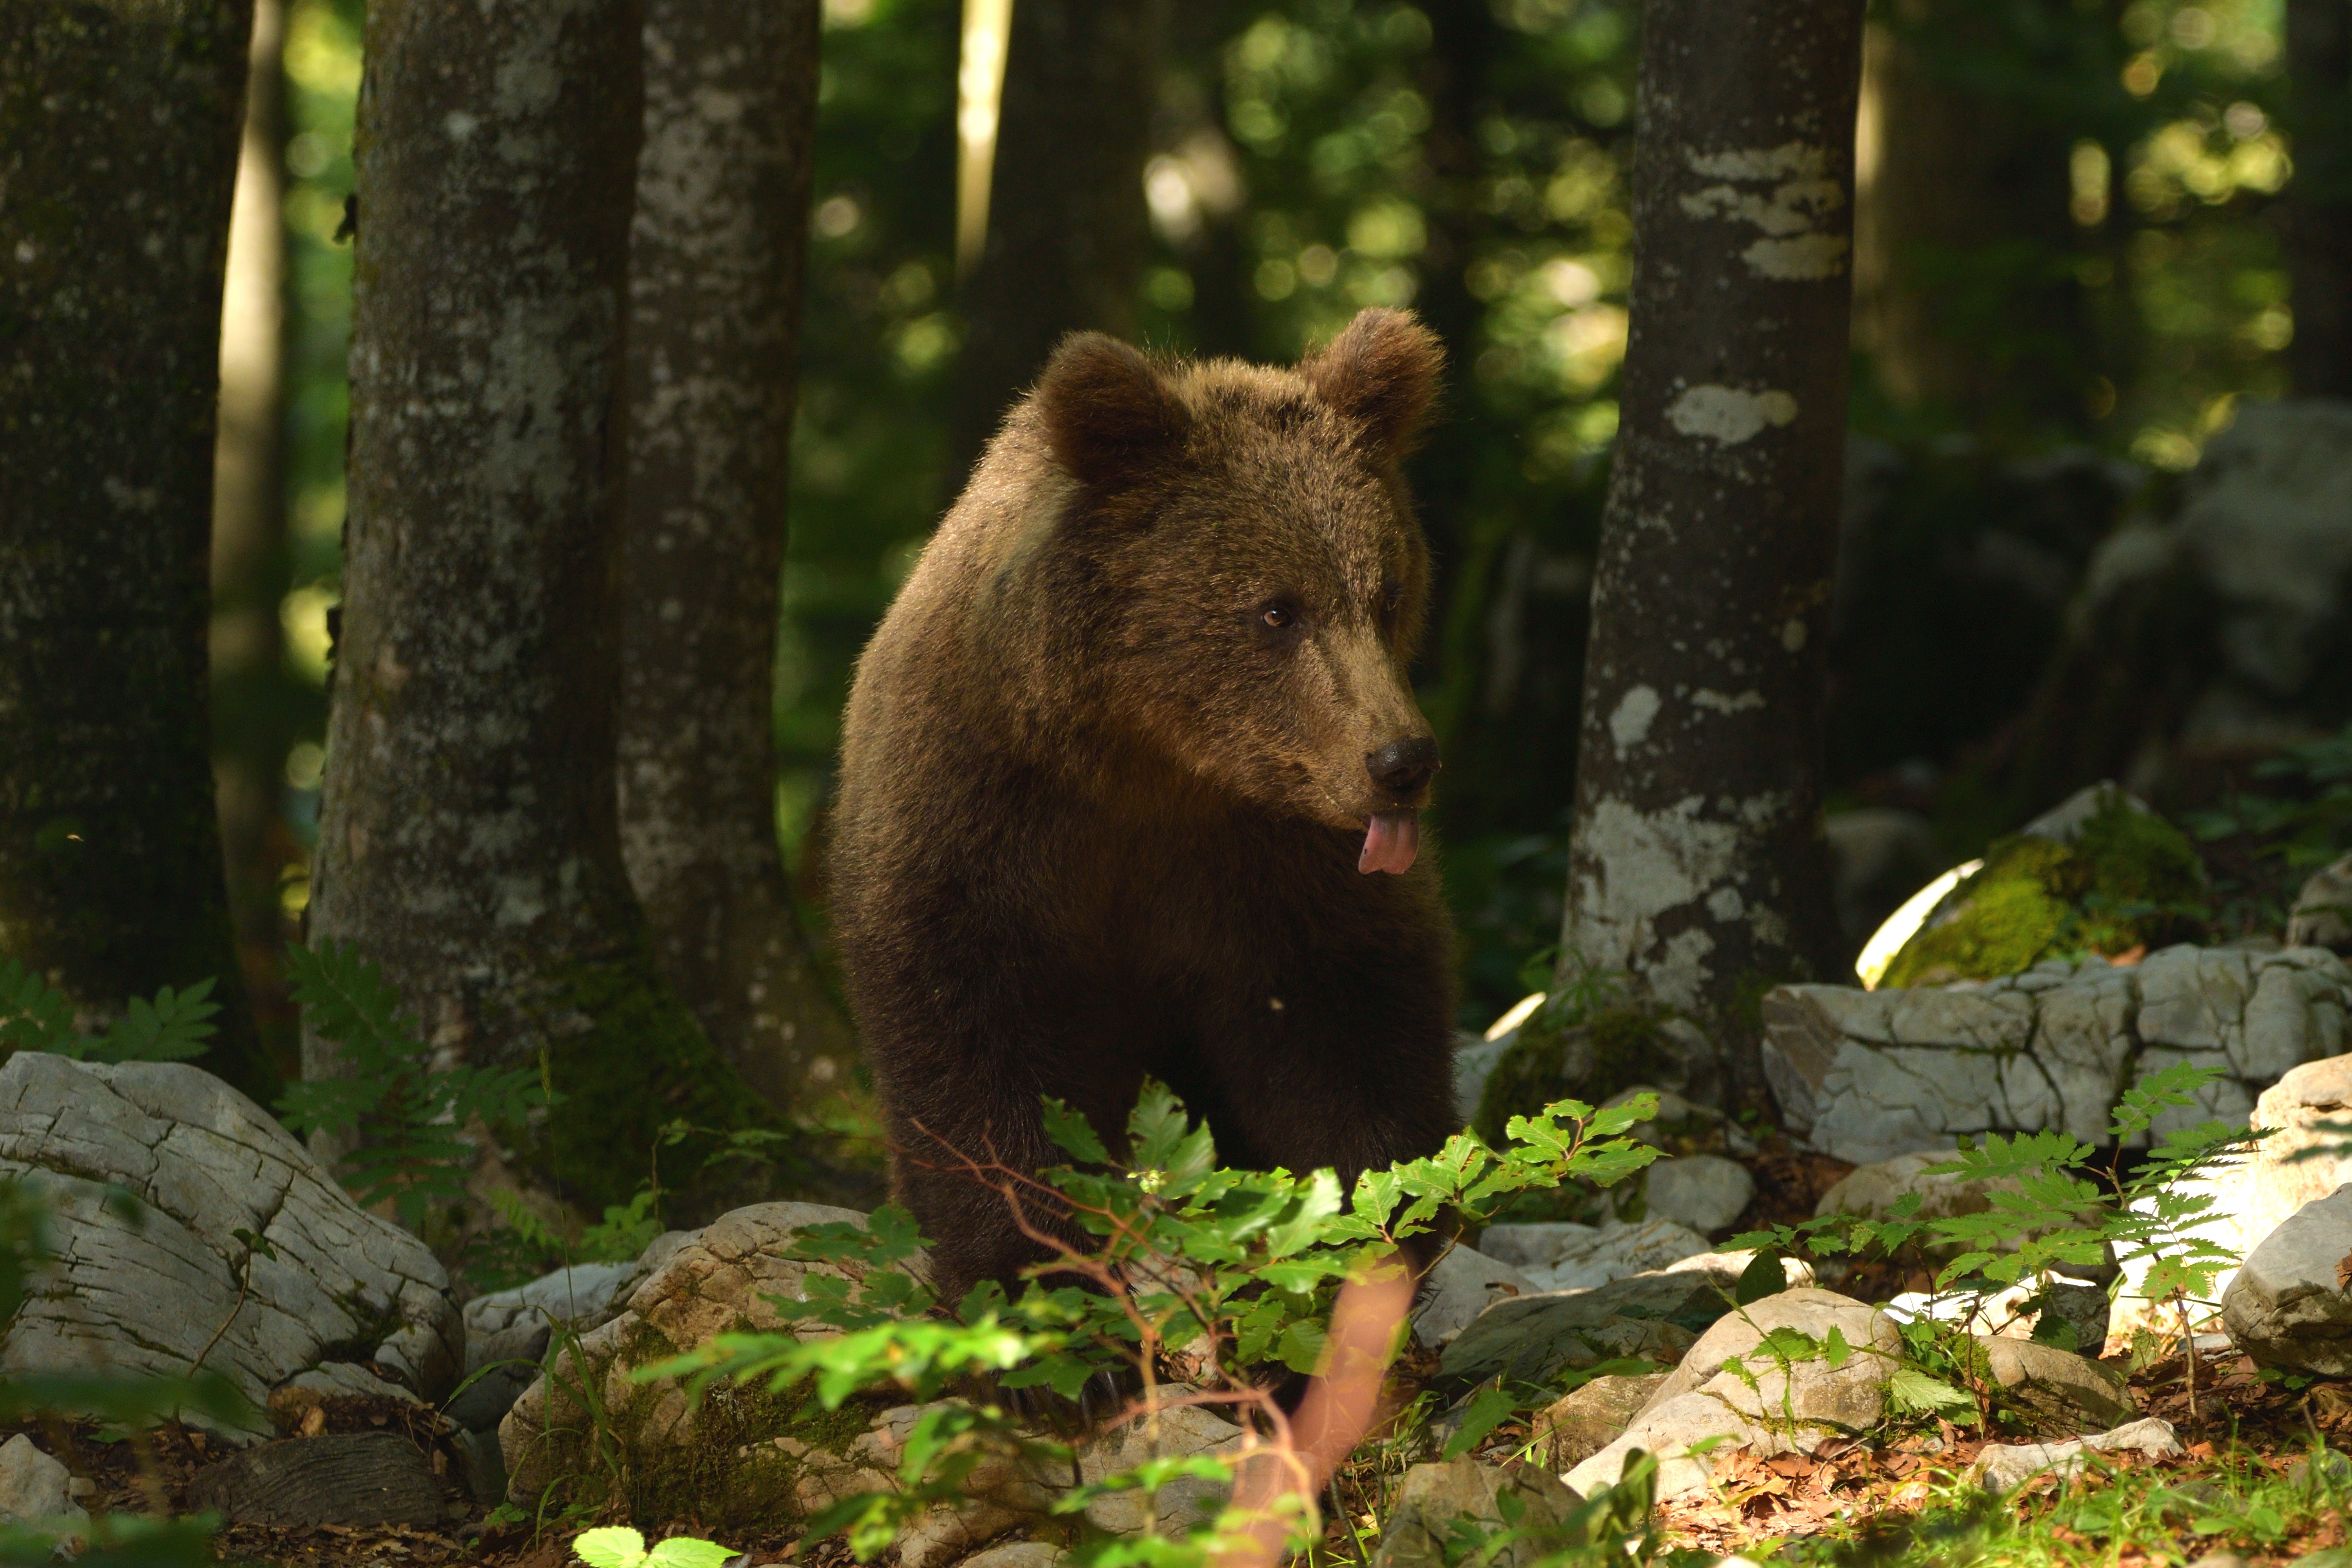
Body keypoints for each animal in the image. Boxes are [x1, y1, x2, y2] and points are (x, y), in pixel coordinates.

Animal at [828, 310, 1449, 1316]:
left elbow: (1348, 1021)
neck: (1153, 765)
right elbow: (967, 1041)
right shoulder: (977, 816)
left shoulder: (1277, 859)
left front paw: (1375, 1225)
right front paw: (1025, 1269)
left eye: (1386, 591)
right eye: (1276, 609)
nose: (1401, 762)